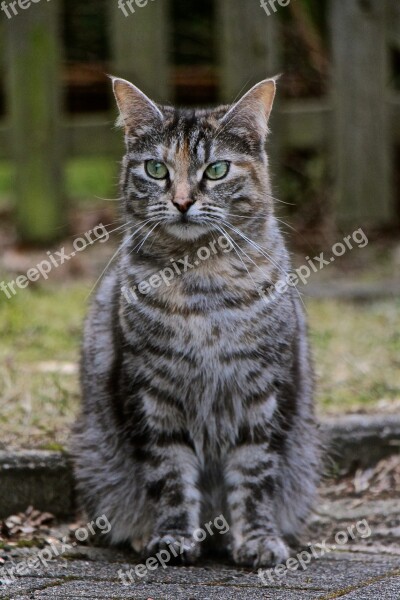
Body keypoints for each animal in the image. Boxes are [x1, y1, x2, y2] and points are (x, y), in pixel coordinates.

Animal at [72, 76, 320, 568]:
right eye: (156, 169)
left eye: (217, 170)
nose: (183, 200)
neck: (199, 280)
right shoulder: (152, 393)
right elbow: (169, 475)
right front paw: (172, 537)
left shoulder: (262, 392)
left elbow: (254, 476)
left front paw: (258, 540)